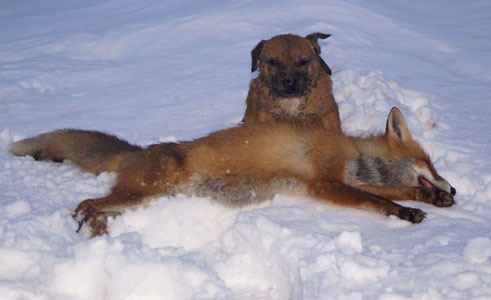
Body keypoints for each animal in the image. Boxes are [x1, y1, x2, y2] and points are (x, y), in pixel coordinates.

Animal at [10, 108, 458, 237]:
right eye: (431, 163)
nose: (453, 187)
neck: (351, 151)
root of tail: (141, 151)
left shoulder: (344, 180)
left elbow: (393, 191)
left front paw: (432, 198)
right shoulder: (325, 183)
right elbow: (378, 199)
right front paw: (409, 212)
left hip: (143, 199)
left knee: (97, 208)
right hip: (143, 193)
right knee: (84, 204)